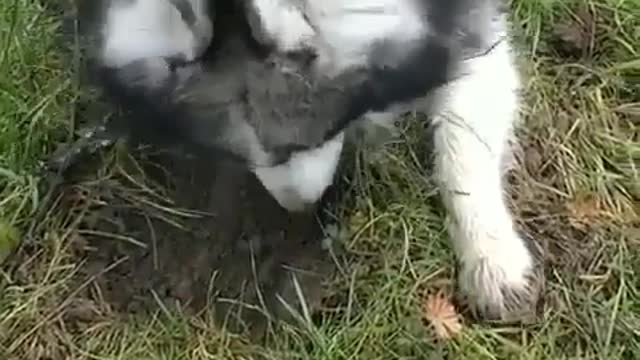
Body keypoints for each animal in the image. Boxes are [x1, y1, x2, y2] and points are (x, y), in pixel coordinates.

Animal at [82, 0, 536, 320]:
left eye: (311, 138)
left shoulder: (466, 31)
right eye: (236, 151)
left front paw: (491, 258)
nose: (303, 208)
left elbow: (463, 149)